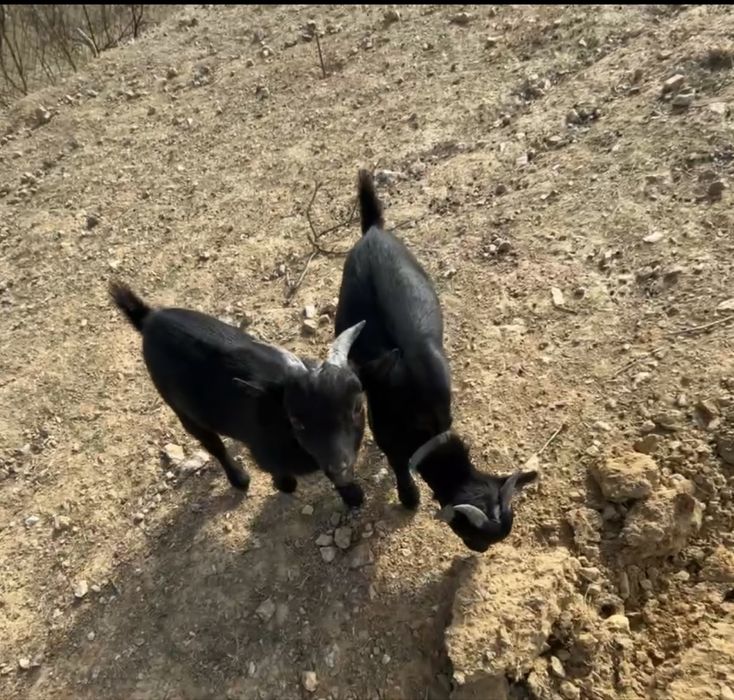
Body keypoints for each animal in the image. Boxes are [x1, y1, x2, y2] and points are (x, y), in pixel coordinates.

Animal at [109, 281, 367, 508]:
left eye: (357, 408)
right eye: (296, 421)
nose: (340, 467)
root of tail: (149, 318)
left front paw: (352, 495)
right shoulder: (265, 452)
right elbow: (284, 479)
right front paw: (283, 484)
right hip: (182, 410)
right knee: (213, 446)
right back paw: (240, 479)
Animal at [334, 170, 537, 551]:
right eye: (471, 534)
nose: (479, 550)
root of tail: (372, 232)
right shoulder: (386, 430)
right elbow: (398, 463)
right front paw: (408, 497)